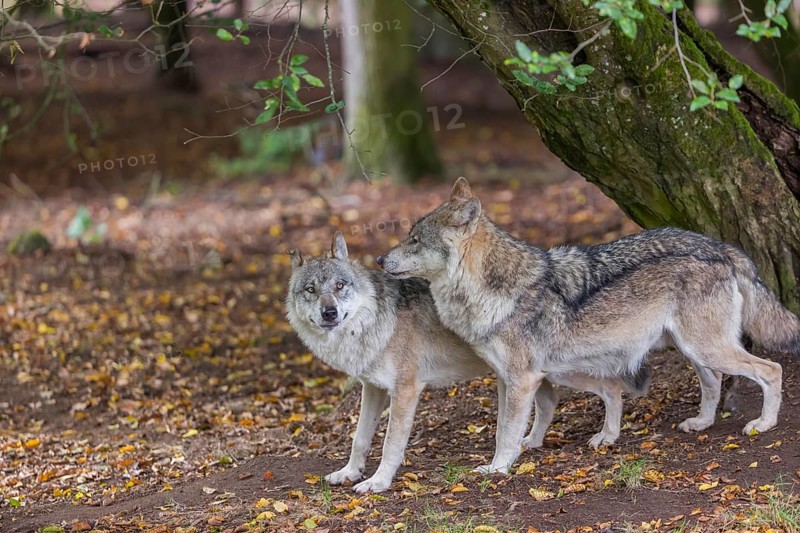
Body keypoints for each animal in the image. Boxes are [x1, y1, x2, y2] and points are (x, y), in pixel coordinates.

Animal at [286, 232, 650, 492]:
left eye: (339, 285)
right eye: (310, 290)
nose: (329, 312)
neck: (373, 322)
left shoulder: (406, 390)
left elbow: (390, 444)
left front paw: (377, 482)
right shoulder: (372, 388)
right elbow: (359, 439)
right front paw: (349, 473)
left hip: (561, 371)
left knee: (612, 387)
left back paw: (606, 438)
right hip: (534, 374)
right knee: (549, 403)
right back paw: (529, 444)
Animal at [378, 177, 800, 474]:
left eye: (414, 240)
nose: (380, 259)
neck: (493, 288)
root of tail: (721, 247)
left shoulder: (522, 379)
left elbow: (505, 433)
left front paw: (497, 469)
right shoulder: (507, 378)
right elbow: (508, 427)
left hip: (707, 348)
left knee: (771, 369)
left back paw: (764, 424)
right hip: (689, 351)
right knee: (711, 383)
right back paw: (701, 423)